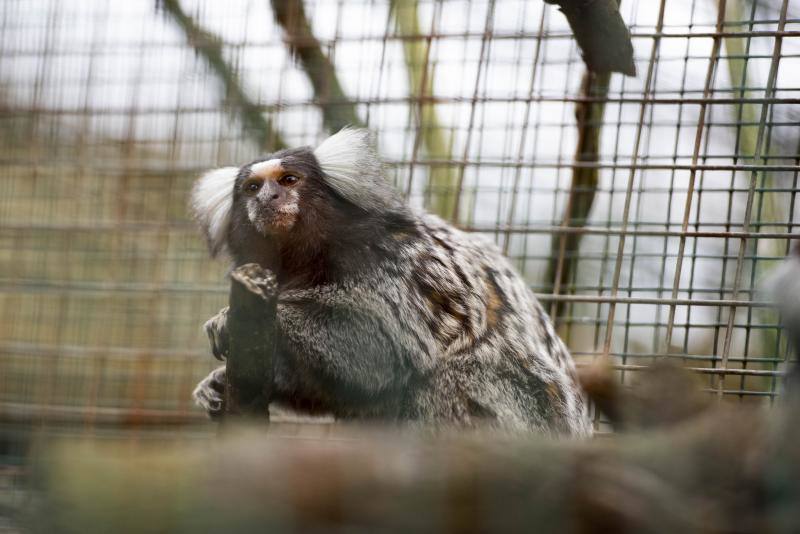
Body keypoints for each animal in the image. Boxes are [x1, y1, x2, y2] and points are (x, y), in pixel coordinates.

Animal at [191, 127, 592, 438]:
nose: (268, 198)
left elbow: (377, 347)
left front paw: (238, 319)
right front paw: (217, 384)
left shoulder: (394, 264)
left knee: (451, 376)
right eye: (252, 187)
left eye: (289, 180)